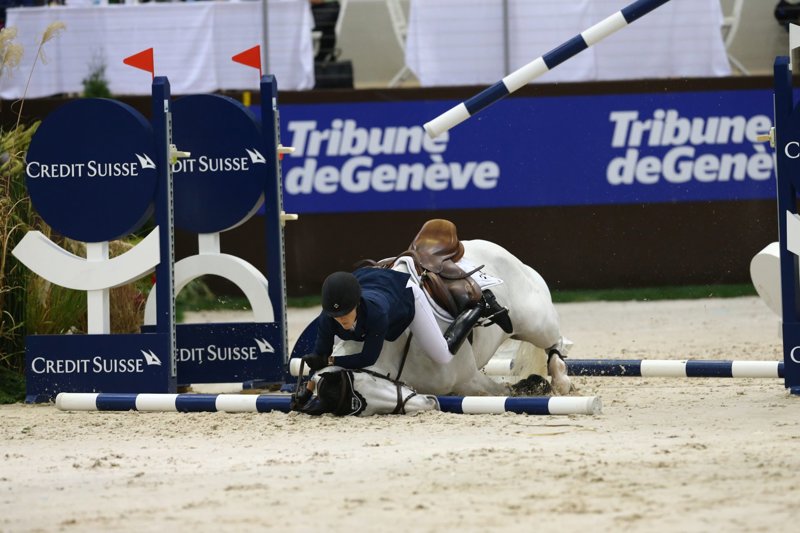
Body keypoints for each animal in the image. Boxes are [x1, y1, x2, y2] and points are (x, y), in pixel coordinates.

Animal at [325, 238, 574, 397]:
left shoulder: (466, 378)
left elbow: (499, 390)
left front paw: (531, 386)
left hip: (535, 323)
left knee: (555, 343)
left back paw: (561, 381)